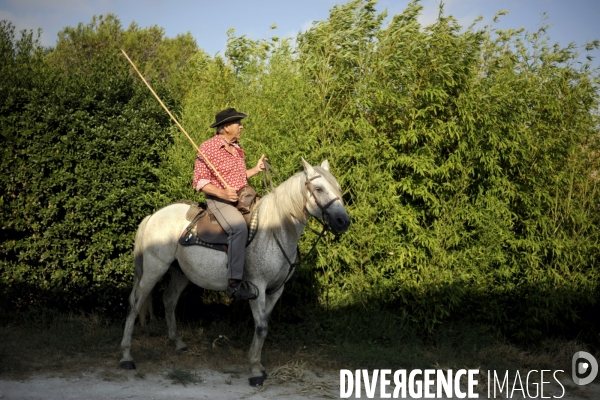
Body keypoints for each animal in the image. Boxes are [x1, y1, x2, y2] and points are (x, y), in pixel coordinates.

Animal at [119, 159, 350, 384]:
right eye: (319, 188)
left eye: (338, 187)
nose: (343, 221)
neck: (275, 231)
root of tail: (153, 216)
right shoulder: (257, 286)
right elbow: (261, 327)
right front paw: (255, 371)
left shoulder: (276, 290)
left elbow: (263, 324)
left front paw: (258, 364)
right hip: (154, 268)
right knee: (134, 305)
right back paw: (126, 357)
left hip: (180, 272)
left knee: (169, 300)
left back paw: (178, 344)